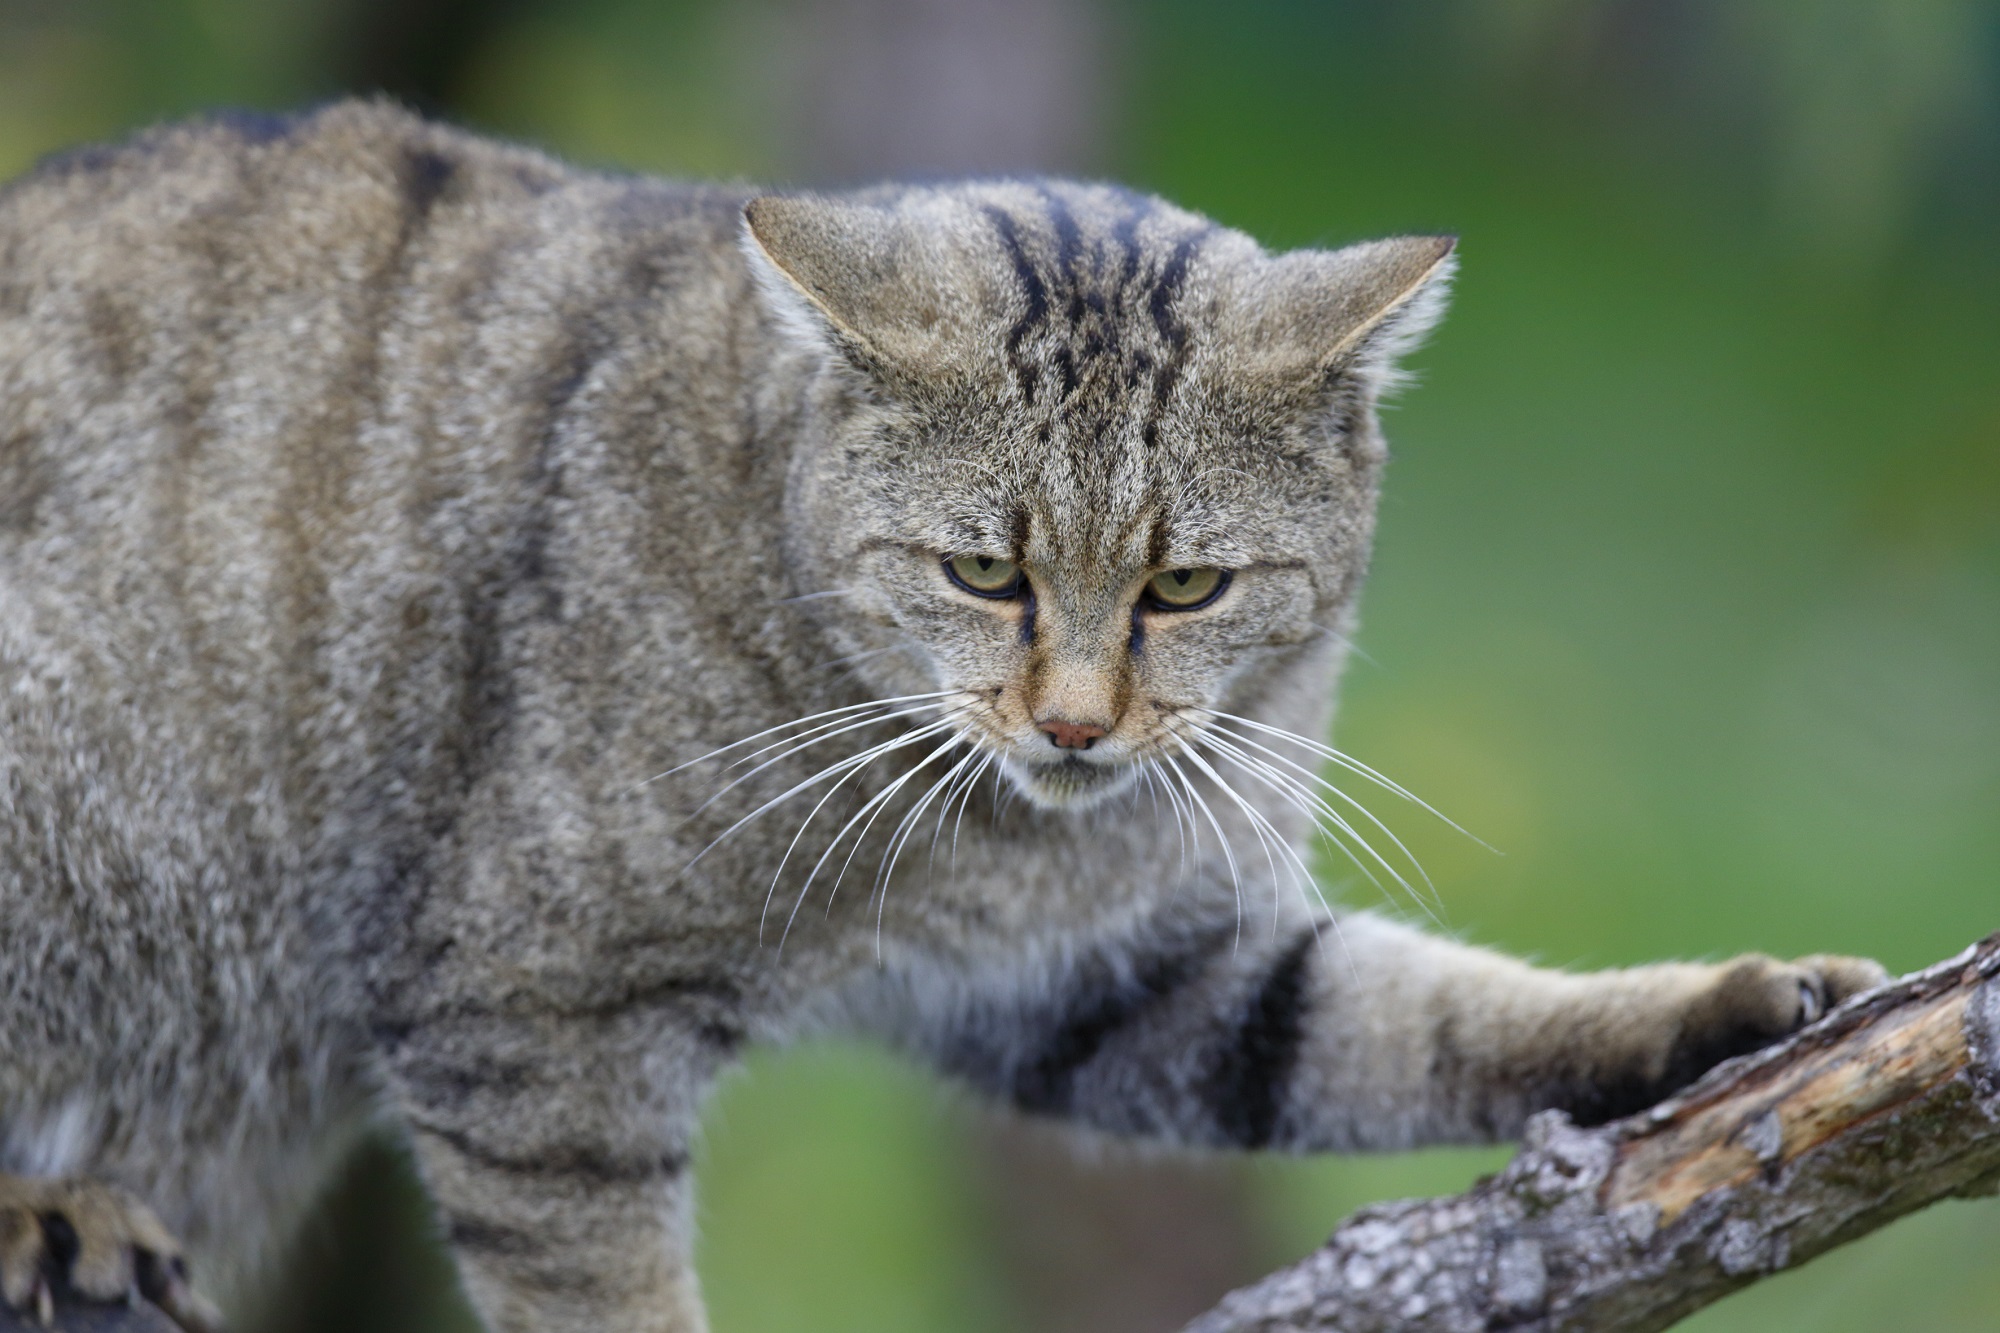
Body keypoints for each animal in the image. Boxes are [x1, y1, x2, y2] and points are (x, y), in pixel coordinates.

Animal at [0, 106, 1880, 1328]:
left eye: (1186, 586)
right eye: (985, 570)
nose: (1077, 725)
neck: (984, 837)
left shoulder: (1125, 974)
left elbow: (1426, 1018)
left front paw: (1721, 1011)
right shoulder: (535, 1015)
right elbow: (611, 1297)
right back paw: (51, 1208)